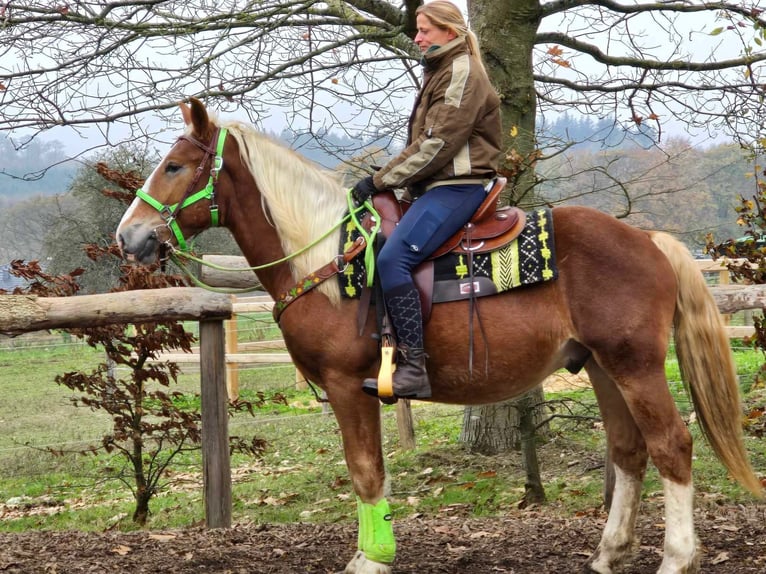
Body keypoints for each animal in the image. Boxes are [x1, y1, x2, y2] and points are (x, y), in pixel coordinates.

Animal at [115, 97, 760, 572]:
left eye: (175, 166)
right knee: (629, 450)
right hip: (602, 366)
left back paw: (676, 557)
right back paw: (608, 553)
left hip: (637, 366)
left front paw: (372, 558)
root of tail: (649, 240)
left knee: (672, 445)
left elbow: (366, 470)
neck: (329, 259)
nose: (130, 237)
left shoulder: (348, 386)